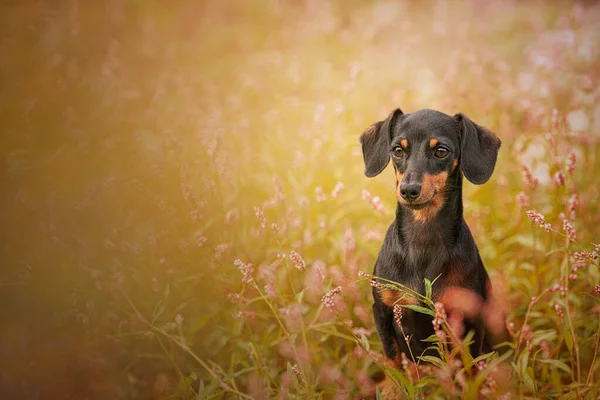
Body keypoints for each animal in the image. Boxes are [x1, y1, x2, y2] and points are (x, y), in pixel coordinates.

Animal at [358, 108, 508, 374]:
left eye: (441, 151)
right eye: (397, 150)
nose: (408, 190)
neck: (423, 241)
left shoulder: (469, 321)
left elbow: (469, 370)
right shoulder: (383, 312)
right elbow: (394, 365)